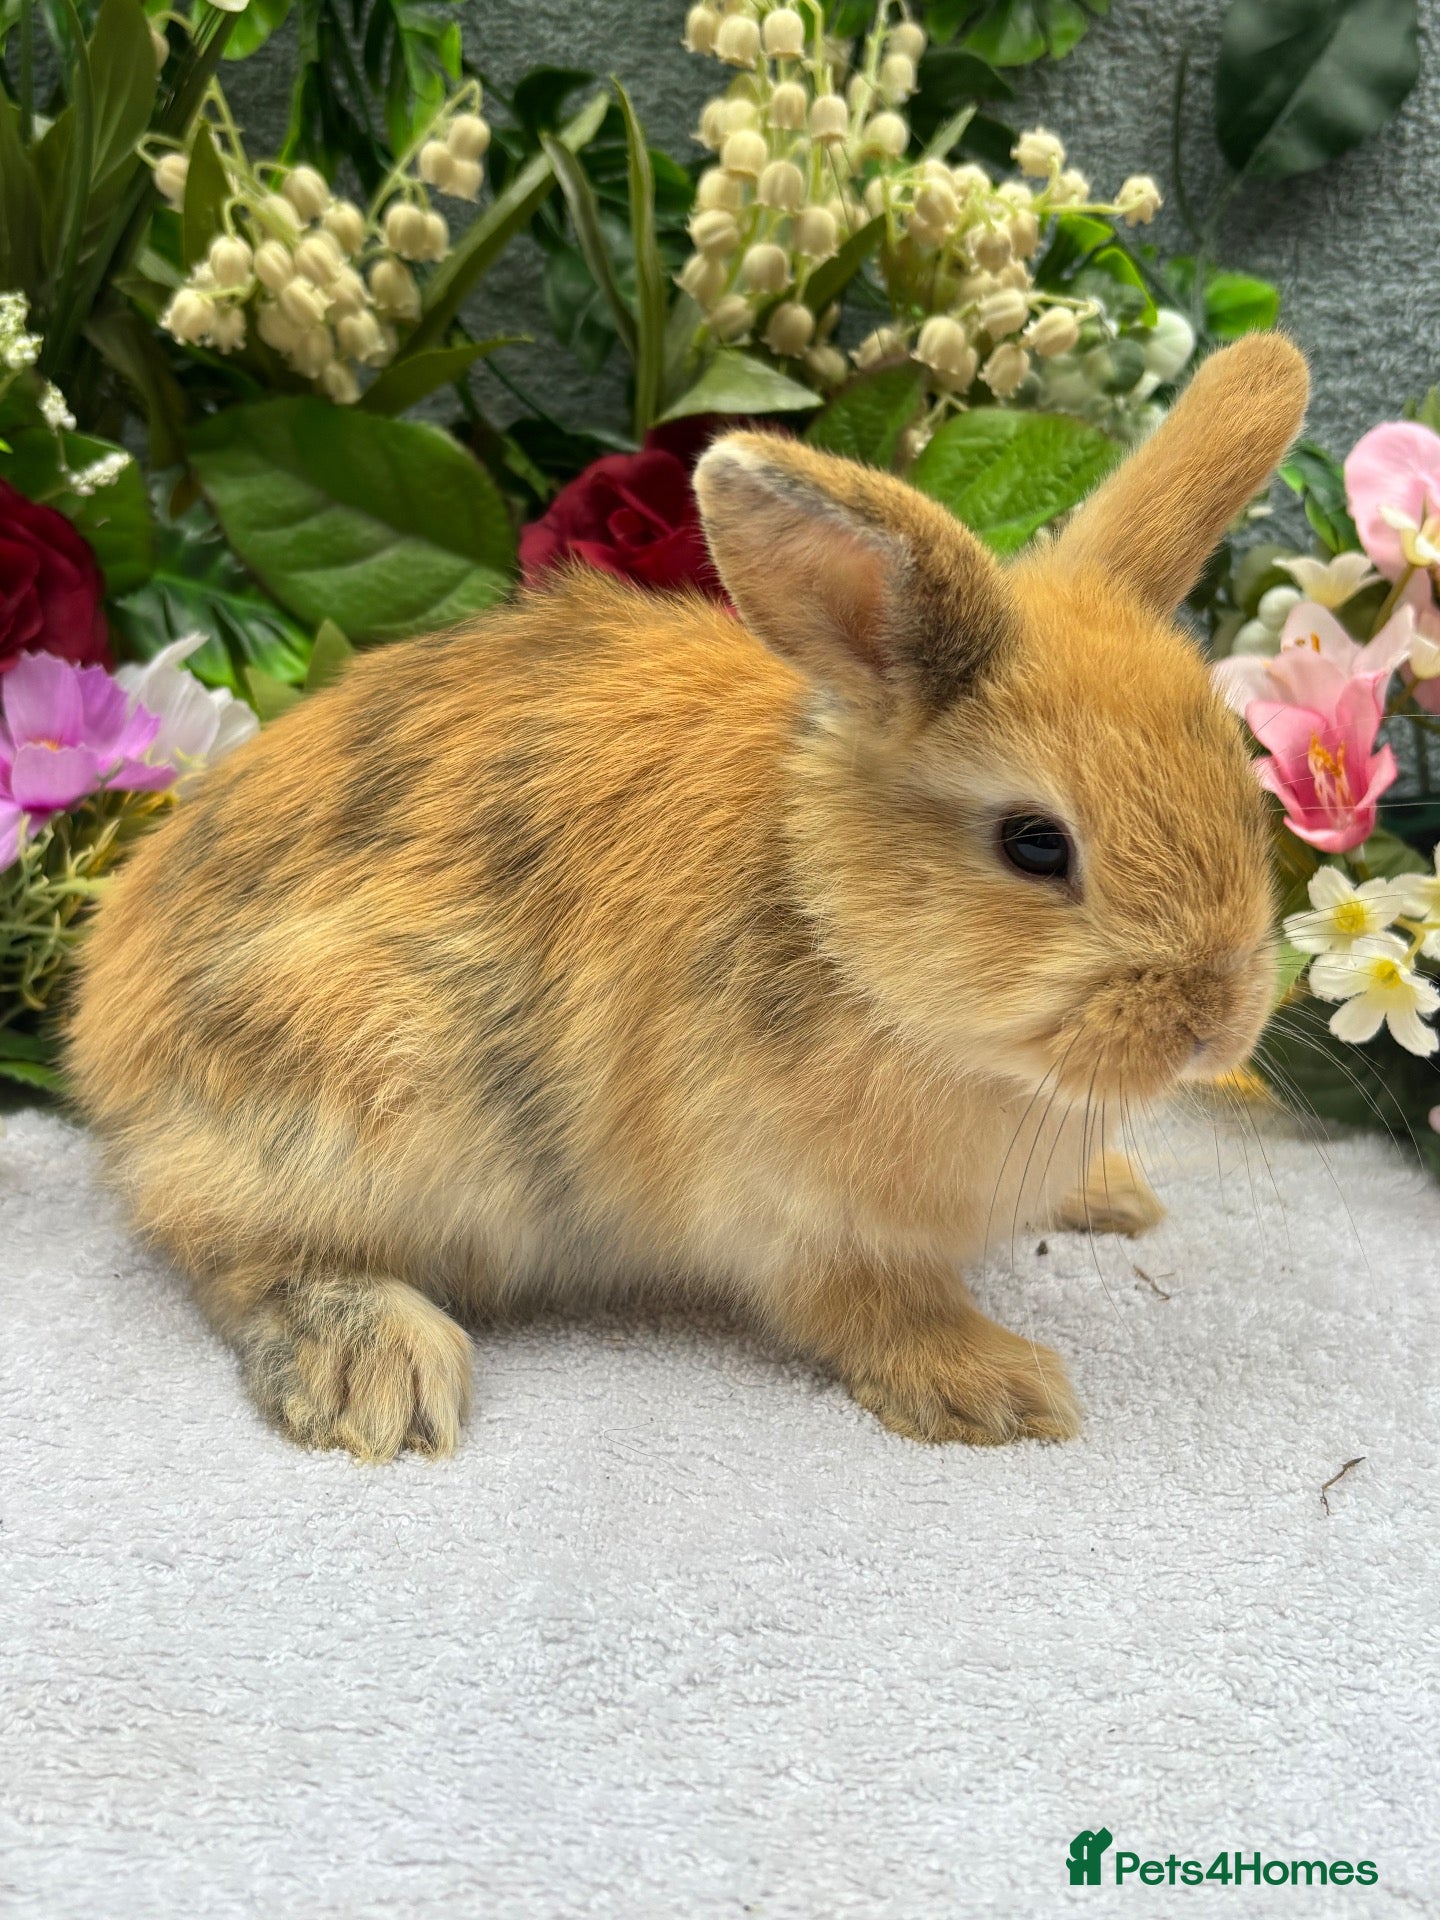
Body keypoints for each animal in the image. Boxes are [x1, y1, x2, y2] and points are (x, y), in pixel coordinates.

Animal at [67, 332, 1308, 1460]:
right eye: (1036, 845)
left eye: (1237, 773)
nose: (1218, 1022)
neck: (830, 920)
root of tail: (103, 1036)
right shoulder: (803, 1222)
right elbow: (874, 1309)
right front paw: (997, 1387)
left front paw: (1112, 1196)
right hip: (351, 1087)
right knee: (229, 1249)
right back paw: (374, 1370)